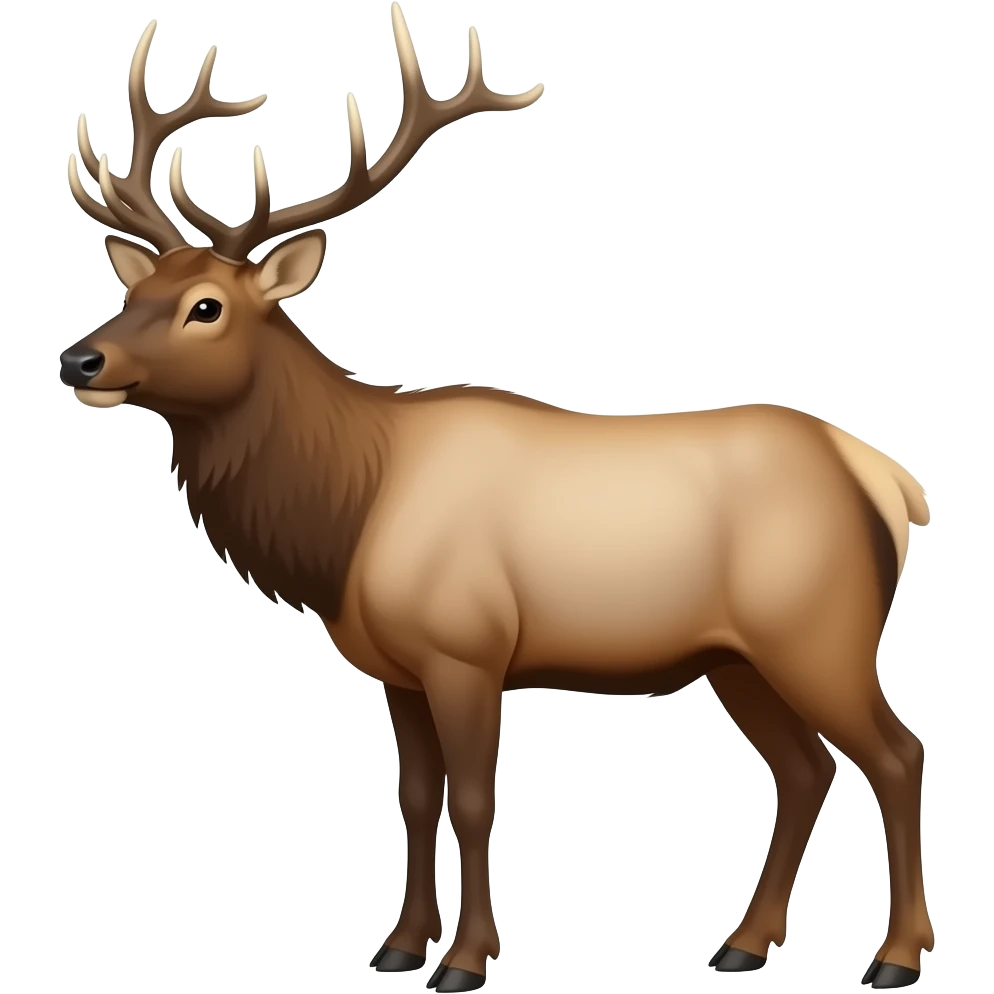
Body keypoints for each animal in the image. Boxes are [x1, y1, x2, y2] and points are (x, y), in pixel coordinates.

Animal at [60, 8, 933, 993]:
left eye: (205, 306)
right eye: (134, 287)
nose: (79, 359)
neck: (344, 522)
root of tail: (887, 479)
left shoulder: (467, 649)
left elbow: (475, 800)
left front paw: (468, 959)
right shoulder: (397, 668)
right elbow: (415, 796)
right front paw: (400, 944)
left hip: (820, 631)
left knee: (896, 753)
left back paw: (894, 956)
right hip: (737, 657)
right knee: (807, 768)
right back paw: (742, 943)